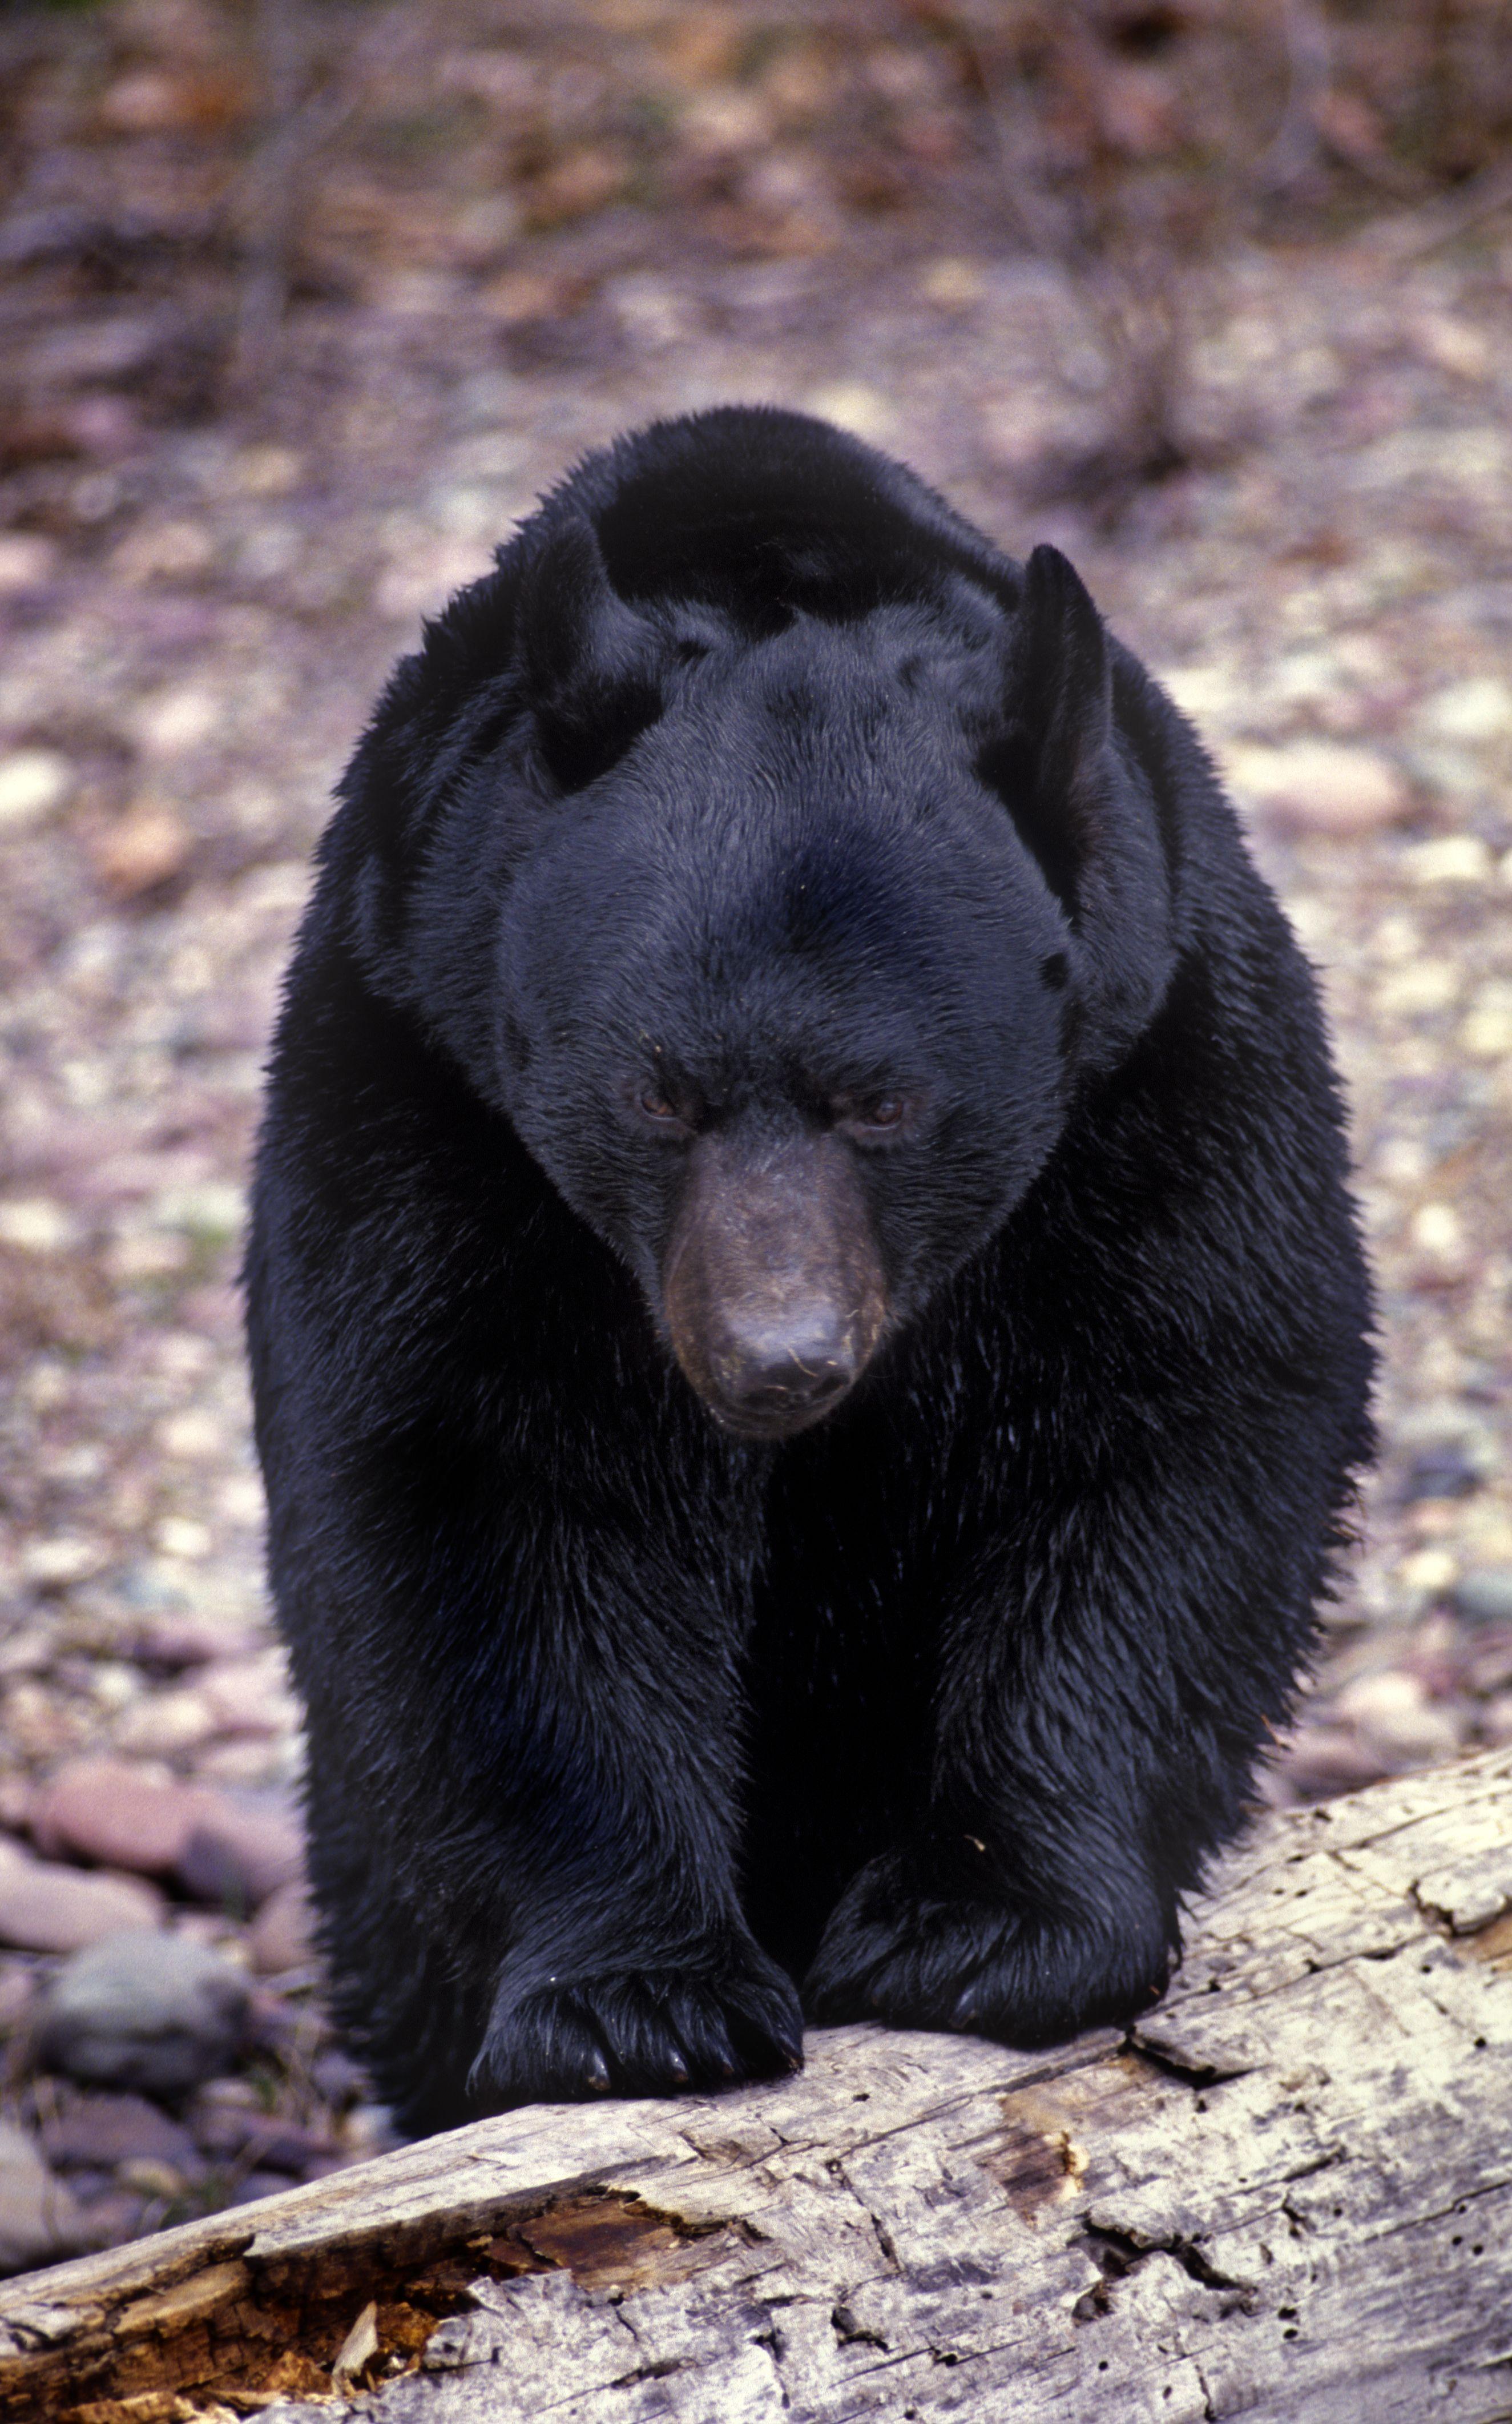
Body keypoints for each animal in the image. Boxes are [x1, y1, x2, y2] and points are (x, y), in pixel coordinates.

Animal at [246, 405, 1374, 2137]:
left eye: (884, 1100)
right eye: (655, 1093)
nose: (777, 1359)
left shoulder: (1165, 1059)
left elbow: (1175, 1430)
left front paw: (986, 1924)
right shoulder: (421, 1095)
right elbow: (479, 1496)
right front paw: (636, 2001)